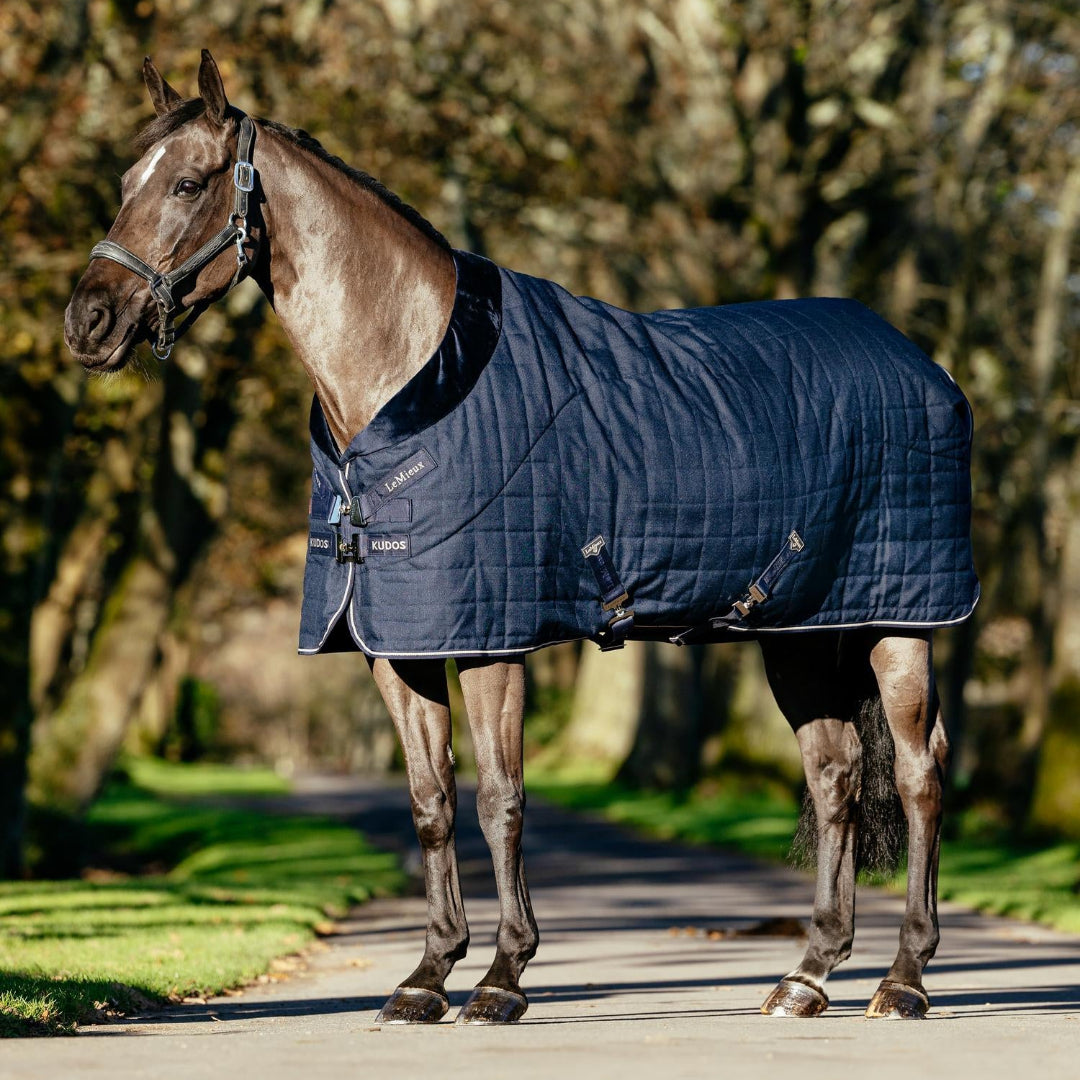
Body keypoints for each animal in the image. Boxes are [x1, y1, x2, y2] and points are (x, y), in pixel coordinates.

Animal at [65, 51, 976, 1025]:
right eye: (123, 183)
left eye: (188, 183)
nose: (88, 321)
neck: (412, 379)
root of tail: (921, 363)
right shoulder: (398, 644)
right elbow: (430, 801)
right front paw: (425, 977)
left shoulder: (489, 636)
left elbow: (500, 798)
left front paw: (502, 978)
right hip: (799, 631)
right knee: (835, 775)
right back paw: (805, 977)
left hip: (899, 624)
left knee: (918, 774)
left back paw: (904, 979)